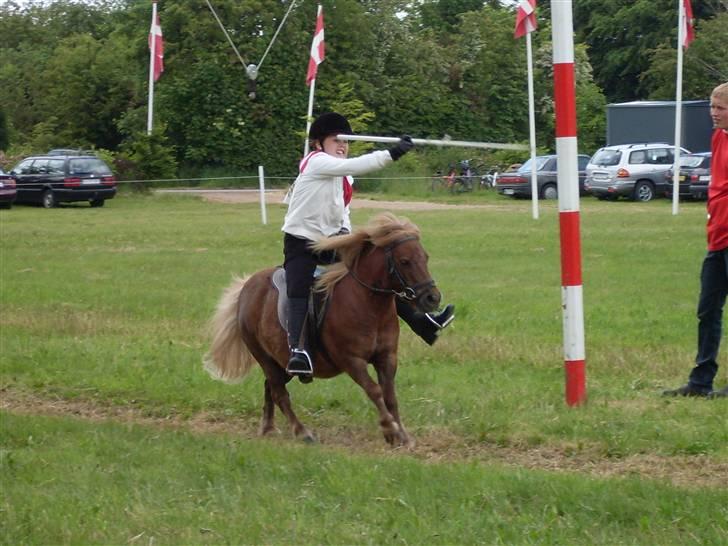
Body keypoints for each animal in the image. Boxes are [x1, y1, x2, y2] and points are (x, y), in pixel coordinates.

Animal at [205, 210, 444, 444]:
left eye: (425, 257)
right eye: (404, 261)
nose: (432, 298)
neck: (368, 305)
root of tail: (246, 287)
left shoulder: (386, 357)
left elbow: (390, 396)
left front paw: (402, 434)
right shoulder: (351, 361)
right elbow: (374, 391)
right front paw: (390, 429)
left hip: (280, 361)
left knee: (270, 388)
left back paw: (268, 427)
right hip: (264, 357)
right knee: (279, 393)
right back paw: (301, 432)